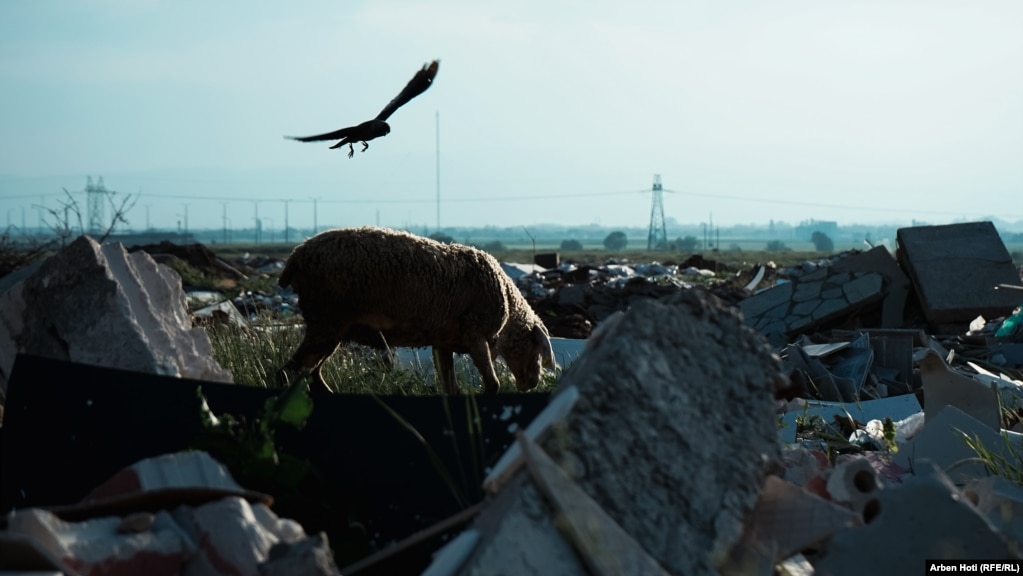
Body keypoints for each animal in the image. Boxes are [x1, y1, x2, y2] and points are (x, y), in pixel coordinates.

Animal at [276, 228, 556, 394]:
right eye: (537, 347)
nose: (534, 384)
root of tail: (294, 258)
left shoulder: (443, 342)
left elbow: (450, 386)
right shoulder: (475, 334)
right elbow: (492, 383)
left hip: (331, 328)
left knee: (311, 373)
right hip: (326, 320)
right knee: (289, 372)